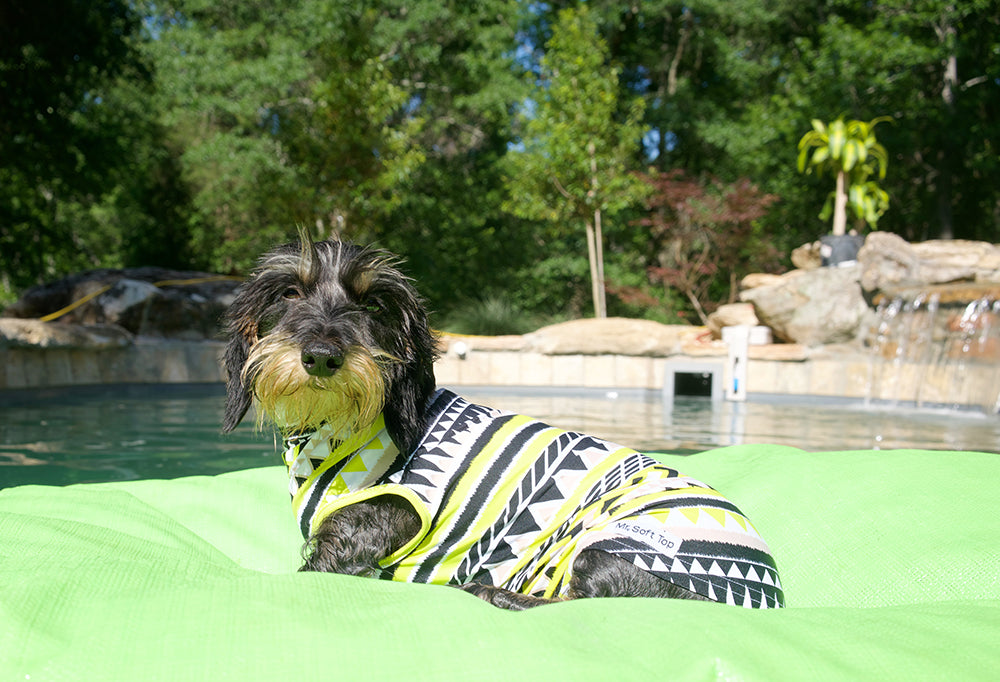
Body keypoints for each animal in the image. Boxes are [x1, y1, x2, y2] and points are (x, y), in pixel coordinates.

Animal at [223, 236, 784, 608]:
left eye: (374, 302)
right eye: (289, 294)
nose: (321, 357)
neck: (342, 430)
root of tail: (769, 592)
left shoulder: (358, 534)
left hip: (608, 549)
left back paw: (498, 594)